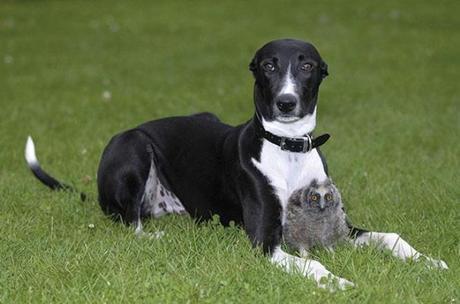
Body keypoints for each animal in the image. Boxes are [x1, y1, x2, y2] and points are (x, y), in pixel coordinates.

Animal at [24, 38, 446, 290]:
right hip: (133, 146)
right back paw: (150, 234)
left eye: (307, 66)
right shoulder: (265, 242)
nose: (286, 103)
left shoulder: (340, 224)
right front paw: (337, 282)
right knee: (130, 222)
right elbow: (311, 264)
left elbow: (390, 236)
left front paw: (428, 261)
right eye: (268, 66)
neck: (288, 148)